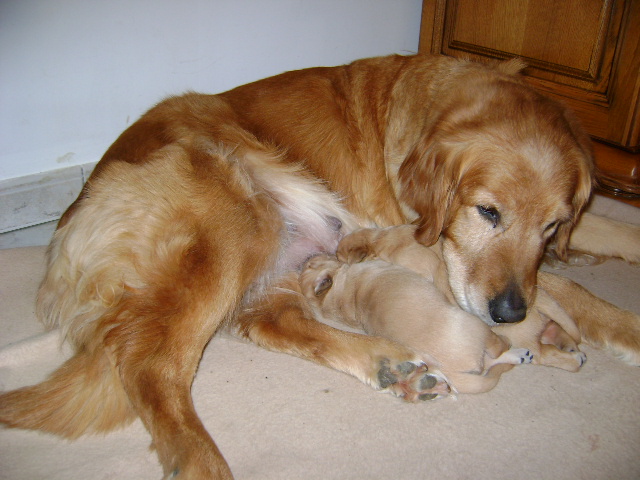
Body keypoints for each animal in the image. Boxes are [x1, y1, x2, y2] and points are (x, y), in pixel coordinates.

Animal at [1, 54, 640, 478]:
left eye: (553, 226)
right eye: (488, 211)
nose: (509, 314)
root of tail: (69, 225)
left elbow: (614, 234)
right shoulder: (436, 245)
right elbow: (568, 288)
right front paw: (619, 326)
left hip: (282, 255)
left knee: (273, 324)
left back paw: (389, 364)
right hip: (241, 211)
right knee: (151, 362)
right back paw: (203, 461)